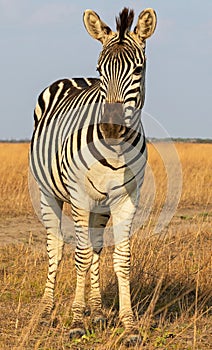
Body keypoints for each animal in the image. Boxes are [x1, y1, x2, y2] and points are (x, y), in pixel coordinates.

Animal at [29, 7, 156, 342]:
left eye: (138, 69)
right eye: (101, 70)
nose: (110, 127)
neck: (115, 149)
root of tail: (72, 79)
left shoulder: (126, 198)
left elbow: (120, 258)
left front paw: (129, 325)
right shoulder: (79, 197)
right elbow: (81, 256)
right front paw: (75, 321)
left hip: (101, 205)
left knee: (97, 246)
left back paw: (96, 311)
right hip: (49, 195)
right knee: (56, 247)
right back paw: (46, 312)